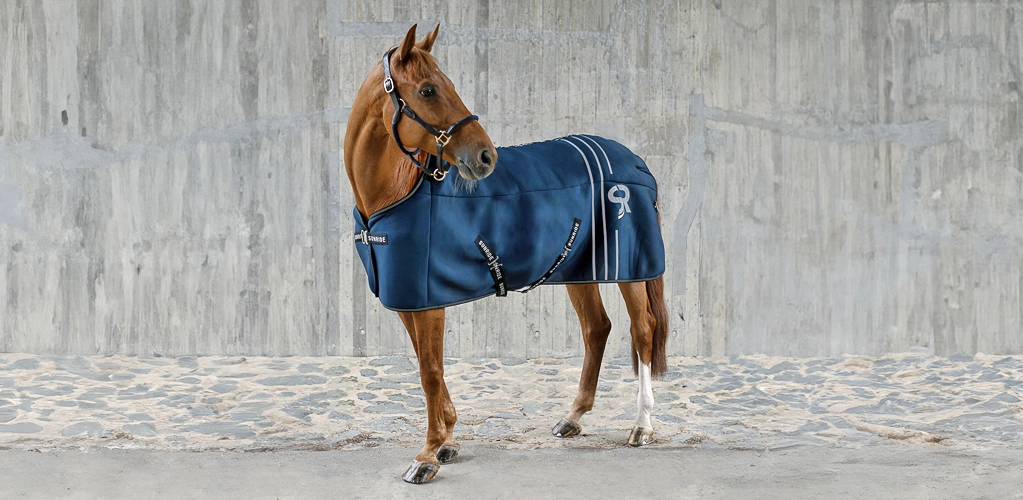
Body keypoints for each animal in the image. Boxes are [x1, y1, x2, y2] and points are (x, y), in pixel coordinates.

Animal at [343, 24, 669, 484]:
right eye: (427, 90)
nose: (486, 156)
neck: (395, 192)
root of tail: (635, 161)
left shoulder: (427, 301)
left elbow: (430, 371)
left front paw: (427, 456)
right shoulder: (409, 299)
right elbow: (429, 366)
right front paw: (448, 442)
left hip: (631, 270)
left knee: (642, 331)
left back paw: (642, 426)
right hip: (580, 269)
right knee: (597, 328)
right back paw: (573, 417)